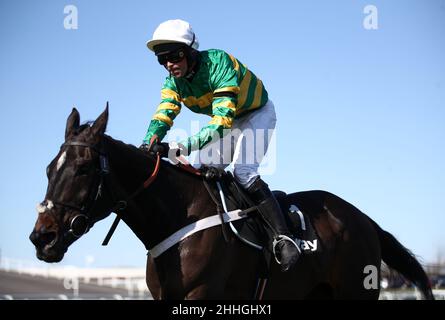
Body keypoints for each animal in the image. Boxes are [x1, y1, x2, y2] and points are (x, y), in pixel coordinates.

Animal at [28, 107, 434, 300]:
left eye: (83, 169)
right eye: (48, 169)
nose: (41, 238)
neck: (179, 217)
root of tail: (364, 219)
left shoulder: (202, 296)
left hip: (356, 292)